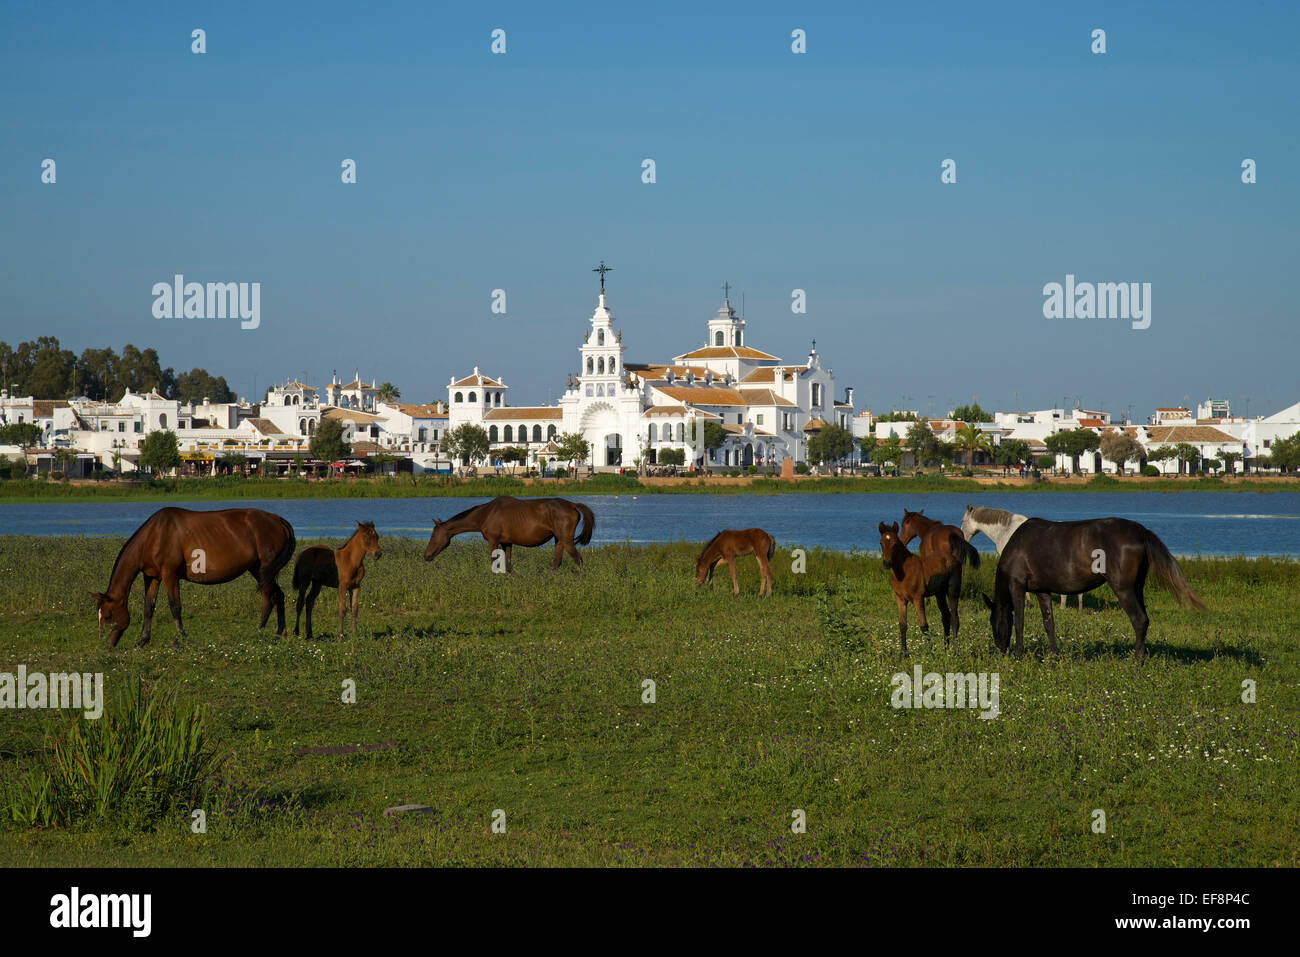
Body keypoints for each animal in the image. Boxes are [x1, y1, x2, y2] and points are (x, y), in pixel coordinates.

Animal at [91, 504, 295, 647]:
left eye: (108, 616)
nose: (106, 645)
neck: (154, 536)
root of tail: (278, 520)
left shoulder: (170, 575)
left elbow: (175, 607)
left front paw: (179, 639)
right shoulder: (152, 577)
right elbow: (148, 607)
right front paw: (143, 640)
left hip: (265, 570)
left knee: (268, 597)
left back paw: (259, 631)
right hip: (259, 570)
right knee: (278, 595)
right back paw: (280, 633)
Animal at [421, 496, 595, 572]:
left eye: (433, 535)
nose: (426, 555)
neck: (486, 513)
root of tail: (573, 505)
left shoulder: (493, 541)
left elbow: (494, 560)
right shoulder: (507, 543)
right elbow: (508, 564)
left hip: (566, 540)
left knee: (578, 560)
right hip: (558, 540)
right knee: (557, 562)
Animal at [883, 520, 967, 655]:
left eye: (895, 544)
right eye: (881, 543)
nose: (887, 563)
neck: (904, 572)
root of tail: (954, 558)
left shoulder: (918, 598)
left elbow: (924, 626)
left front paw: (929, 652)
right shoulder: (900, 599)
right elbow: (902, 625)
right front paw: (903, 654)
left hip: (952, 590)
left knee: (955, 618)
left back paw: (954, 649)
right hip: (939, 594)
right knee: (946, 617)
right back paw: (945, 648)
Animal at [982, 514, 1206, 657]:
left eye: (993, 622)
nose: (1000, 651)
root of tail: (1142, 532)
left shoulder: (1017, 585)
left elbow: (1019, 621)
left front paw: (1018, 655)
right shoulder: (1042, 590)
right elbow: (1049, 623)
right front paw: (1053, 656)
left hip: (1123, 588)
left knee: (1139, 620)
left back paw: (1136, 660)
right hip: (1137, 587)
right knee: (1144, 619)